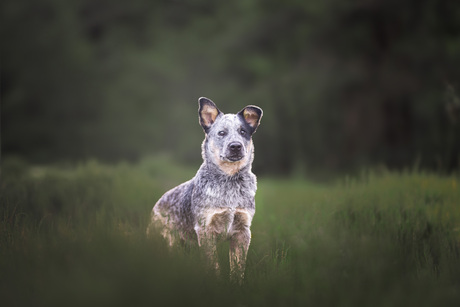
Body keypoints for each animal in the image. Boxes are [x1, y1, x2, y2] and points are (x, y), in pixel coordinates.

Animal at [147, 97, 262, 282]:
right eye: (221, 133)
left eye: (243, 131)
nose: (236, 146)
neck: (229, 180)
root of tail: (156, 205)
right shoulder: (205, 230)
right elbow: (213, 265)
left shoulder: (242, 231)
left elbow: (238, 267)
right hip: (166, 242)